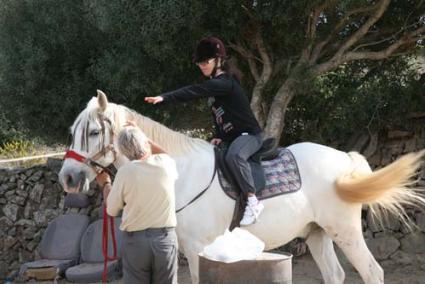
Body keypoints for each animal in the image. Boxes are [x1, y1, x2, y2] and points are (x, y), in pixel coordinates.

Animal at [58, 91, 424, 284]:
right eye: (73, 131)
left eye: (94, 132)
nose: (68, 179)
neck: (178, 172)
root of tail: (344, 160)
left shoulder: (197, 249)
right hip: (317, 233)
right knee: (335, 275)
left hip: (344, 231)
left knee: (372, 272)